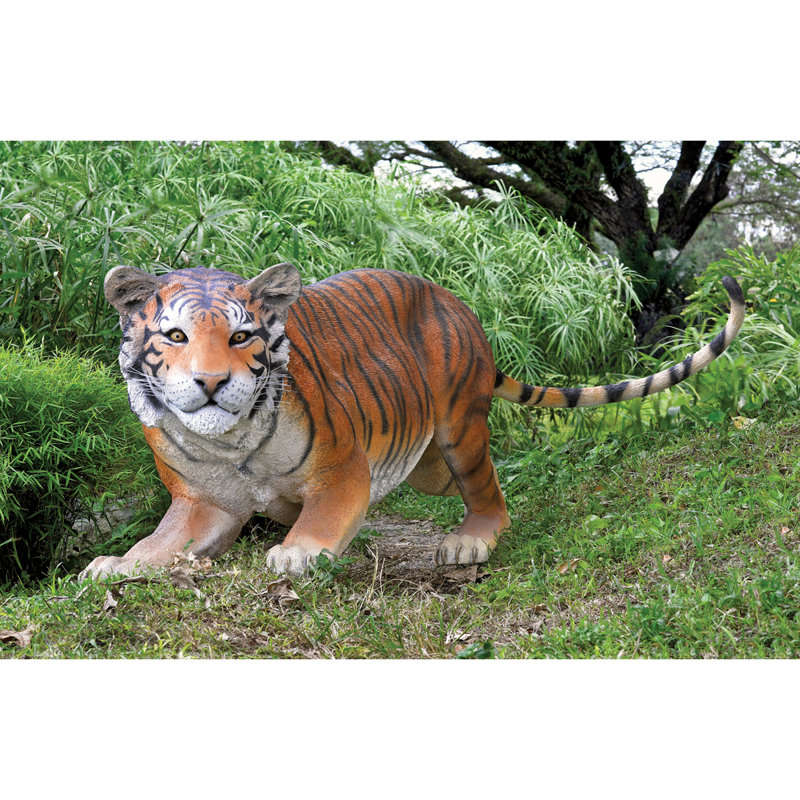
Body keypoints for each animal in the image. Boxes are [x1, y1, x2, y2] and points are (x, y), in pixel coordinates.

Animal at [80, 263, 745, 579]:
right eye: (176, 336)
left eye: (242, 337)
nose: (213, 382)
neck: (229, 445)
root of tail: (466, 312)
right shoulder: (203, 502)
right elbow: (162, 542)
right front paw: (117, 564)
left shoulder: (341, 469)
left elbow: (322, 518)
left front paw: (296, 554)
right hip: (427, 464)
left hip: (458, 431)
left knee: (490, 491)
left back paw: (469, 541)